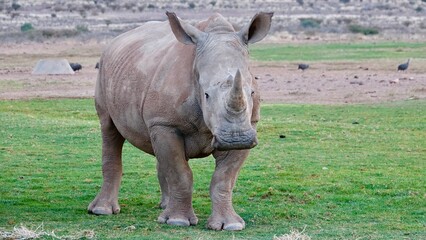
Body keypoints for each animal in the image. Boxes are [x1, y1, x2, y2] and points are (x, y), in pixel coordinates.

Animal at [88, 11, 272, 231]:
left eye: (252, 92)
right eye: (206, 95)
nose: (236, 139)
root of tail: (115, 42)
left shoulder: (249, 125)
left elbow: (224, 178)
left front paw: (230, 225)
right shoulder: (165, 123)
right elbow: (180, 173)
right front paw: (177, 221)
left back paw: (164, 206)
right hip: (104, 71)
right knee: (109, 130)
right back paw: (102, 211)